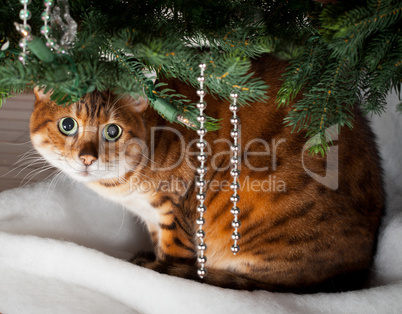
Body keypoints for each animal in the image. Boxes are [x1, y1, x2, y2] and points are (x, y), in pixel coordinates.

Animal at [29, 55, 384, 294]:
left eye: (112, 131)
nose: (87, 158)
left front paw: (156, 271)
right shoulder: (153, 217)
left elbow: (173, 257)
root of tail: (360, 269)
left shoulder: (176, 211)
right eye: (67, 124)